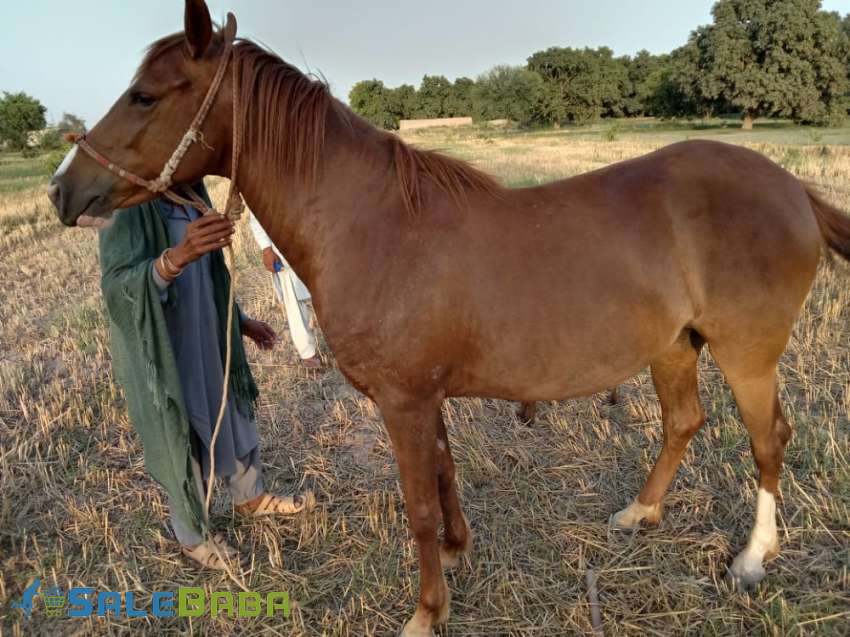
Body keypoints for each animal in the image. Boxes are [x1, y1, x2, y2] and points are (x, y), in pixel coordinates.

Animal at [48, 2, 850, 634]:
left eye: (145, 96)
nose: (63, 191)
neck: (375, 225)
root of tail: (792, 189)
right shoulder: (422, 396)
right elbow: (443, 473)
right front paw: (461, 552)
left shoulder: (402, 400)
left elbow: (419, 506)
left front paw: (426, 611)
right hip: (675, 345)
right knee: (683, 422)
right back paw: (639, 515)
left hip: (747, 355)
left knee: (767, 441)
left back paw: (752, 557)